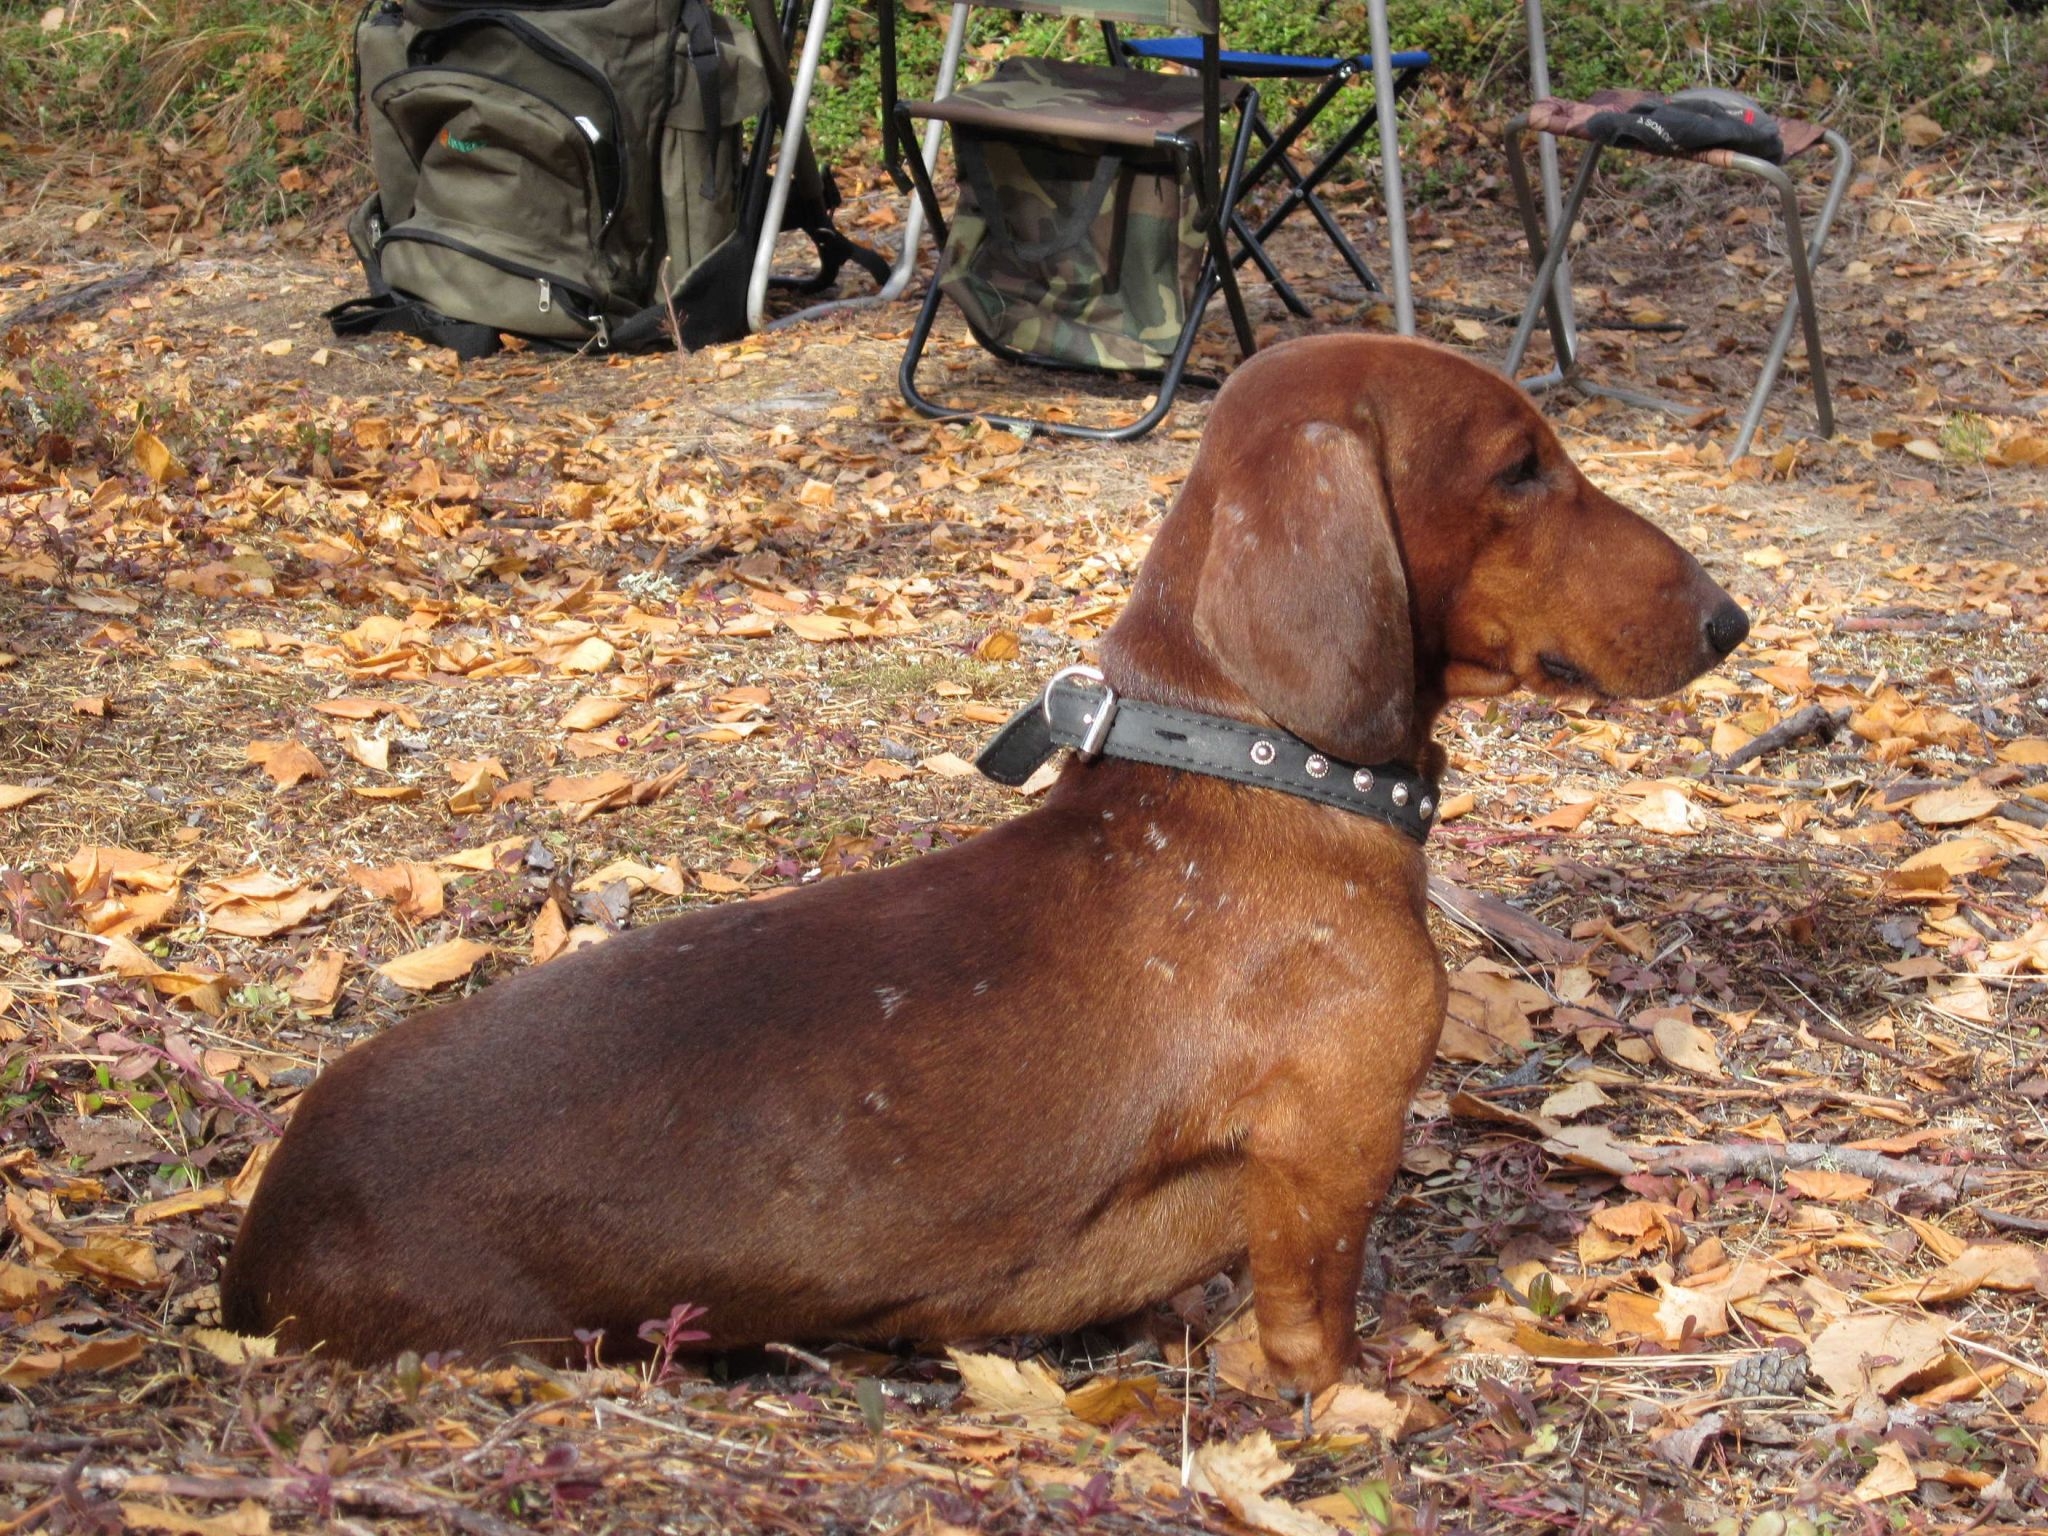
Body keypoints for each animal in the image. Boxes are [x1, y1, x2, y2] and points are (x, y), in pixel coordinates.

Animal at [228, 335, 1761, 1392]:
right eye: (1519, 467)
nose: (1730, 619)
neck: (1261, 779)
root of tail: (256, 1254)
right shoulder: (1332, 1151)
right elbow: (1312, 1327)